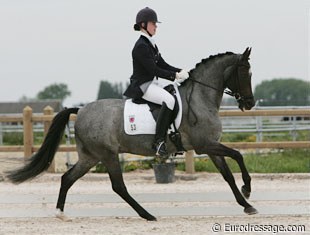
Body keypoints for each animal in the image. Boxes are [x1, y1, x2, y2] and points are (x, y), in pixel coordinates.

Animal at [7, 47, 258, 220]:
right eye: (245, 73)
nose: (250, 103)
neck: (199, 98)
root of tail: (81, 109)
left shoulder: (211, 146)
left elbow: (227, 174)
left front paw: (247, 204)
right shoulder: (204, 145)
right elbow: (238, 155)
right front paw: (247, 189)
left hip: (90, 156)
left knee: (67, 178)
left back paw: (60, 213)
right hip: (107, 154)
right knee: (118, 186)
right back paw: (147, 215)